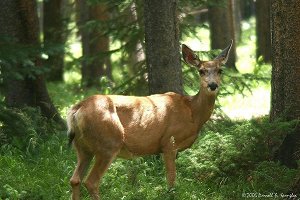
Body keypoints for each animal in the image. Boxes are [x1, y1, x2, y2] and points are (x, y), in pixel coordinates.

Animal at [67, 39, 232, 199]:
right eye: (201, 71)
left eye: (220, 70)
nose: (212, 85)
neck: (193, 112)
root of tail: (77, 109)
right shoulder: (169, 142)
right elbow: (171, 179)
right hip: (108, 142)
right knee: (91, 182)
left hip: (83, 147)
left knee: (75, 179)